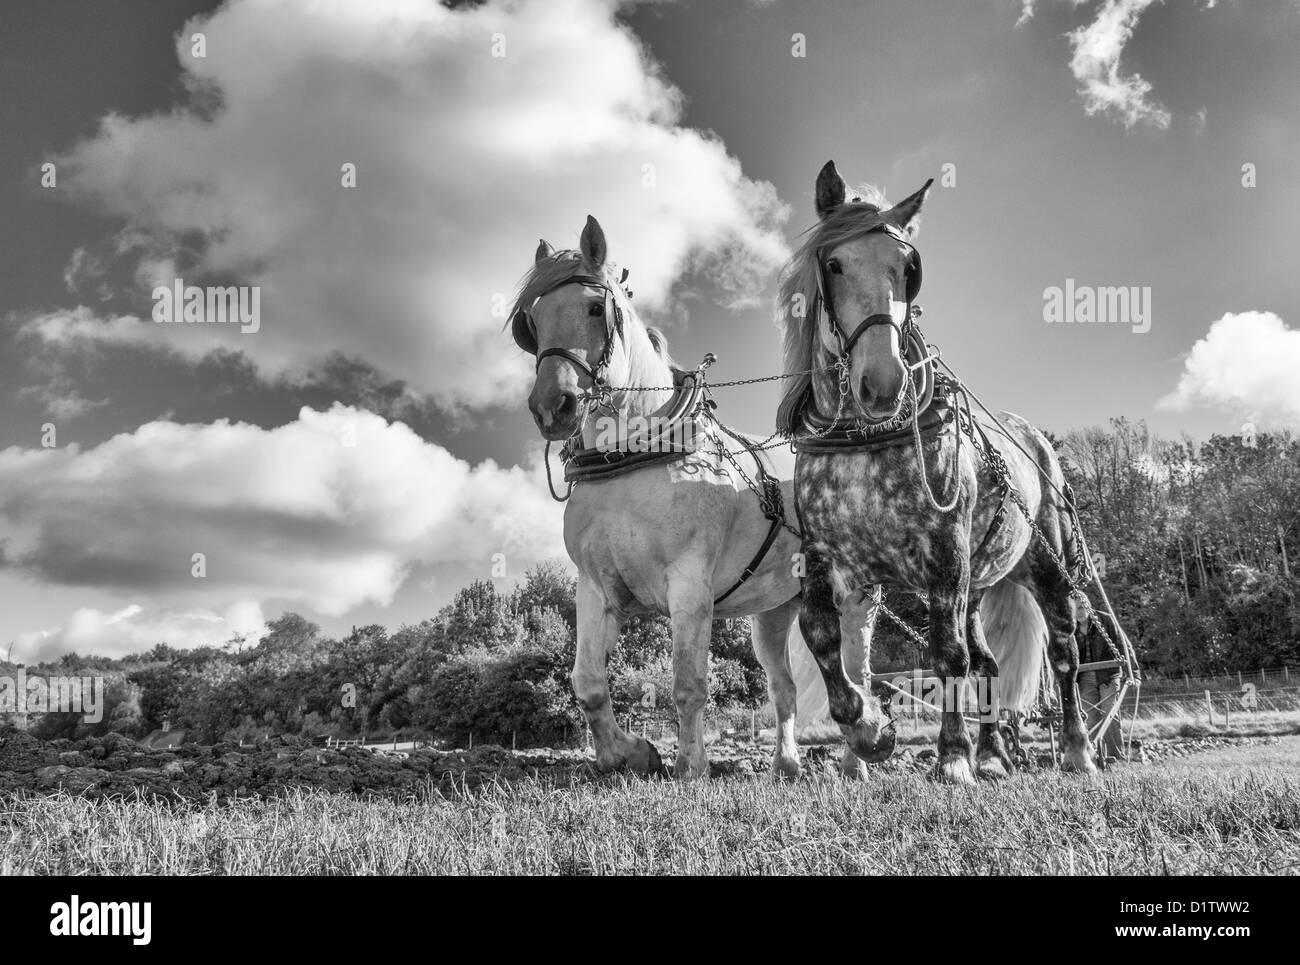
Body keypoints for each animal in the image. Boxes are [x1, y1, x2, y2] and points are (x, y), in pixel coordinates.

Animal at [510, 214, 890, 779]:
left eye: (596, 308)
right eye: (531, 323)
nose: (552, 406)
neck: (634, 454)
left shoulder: (690, 585)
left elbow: (688, 684)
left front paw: (690, 768)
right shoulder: (595, 588)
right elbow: (588, 682)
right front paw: (624, 755)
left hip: (856, 598)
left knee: (856, 671)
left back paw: (857, 759)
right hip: (774, 610)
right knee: (783, 687)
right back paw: (785, 766)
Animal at [775, 160, 1095, 784]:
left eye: (908, 269)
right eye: (834, 264)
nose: (882, 383)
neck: (866, 438)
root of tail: (1034, 442)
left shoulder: (944, 553)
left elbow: (948, 655)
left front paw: (951, 758)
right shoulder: (829, 558)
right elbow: (822, 636)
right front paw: (869, 730)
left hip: (1044, 564)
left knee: (1064, 653)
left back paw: (1075, 750)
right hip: (978, 582)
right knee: (990, 663)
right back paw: (994, 755)